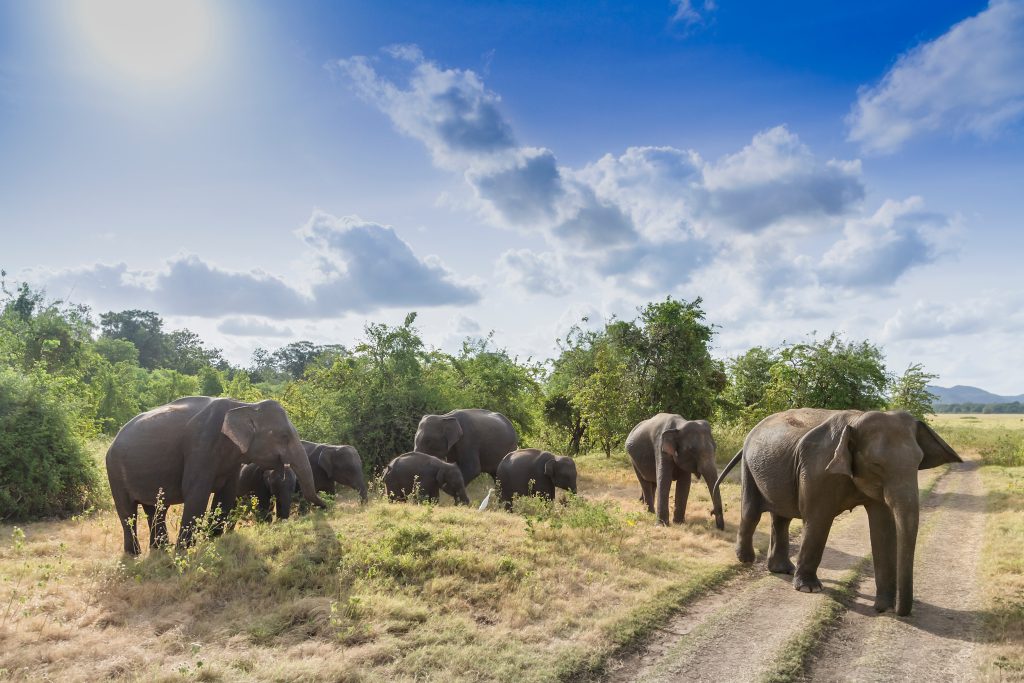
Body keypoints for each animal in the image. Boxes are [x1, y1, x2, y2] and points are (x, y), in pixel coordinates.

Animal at [105, 397, 325, 552]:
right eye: (284, 436)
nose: (325, 506)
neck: (243, 405)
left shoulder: (233, 458)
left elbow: (226, 495)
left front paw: (214, 540)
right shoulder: (200, 446)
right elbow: (196, 494)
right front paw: (184, 550)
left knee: (156, 509)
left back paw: (160, 549)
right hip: (114, 470)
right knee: (127, 512)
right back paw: (134, 554)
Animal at [712, 409, 958, 618]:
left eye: (919, 462)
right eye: (876, 465)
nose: (893, 610)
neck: (856, 420)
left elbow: (883, 528)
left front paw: (884, 605)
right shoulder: (817, 470)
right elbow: (818, 520)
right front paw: (809, 589)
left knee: (782, 517)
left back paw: (783, 570)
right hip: (749, 468)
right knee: (751, 512)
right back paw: (747, 560)